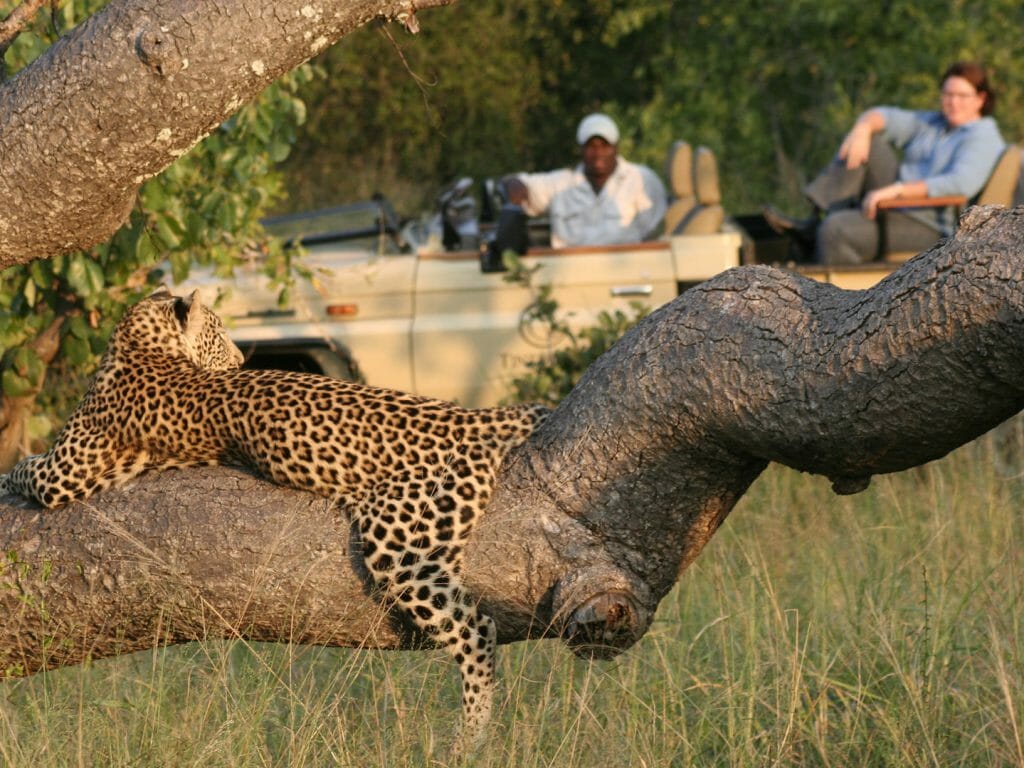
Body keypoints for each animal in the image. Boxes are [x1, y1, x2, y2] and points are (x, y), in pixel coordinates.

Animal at [0, 288, 550, 752]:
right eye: (220, 331)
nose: (242, 361)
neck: (142, 344)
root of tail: (473, 415)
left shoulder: (64, 472)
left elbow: (21, 467)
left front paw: (3, 478)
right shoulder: (76, 467)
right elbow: (22, 465)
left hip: (400, 542)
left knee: (477, 628)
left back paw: (469, 739)